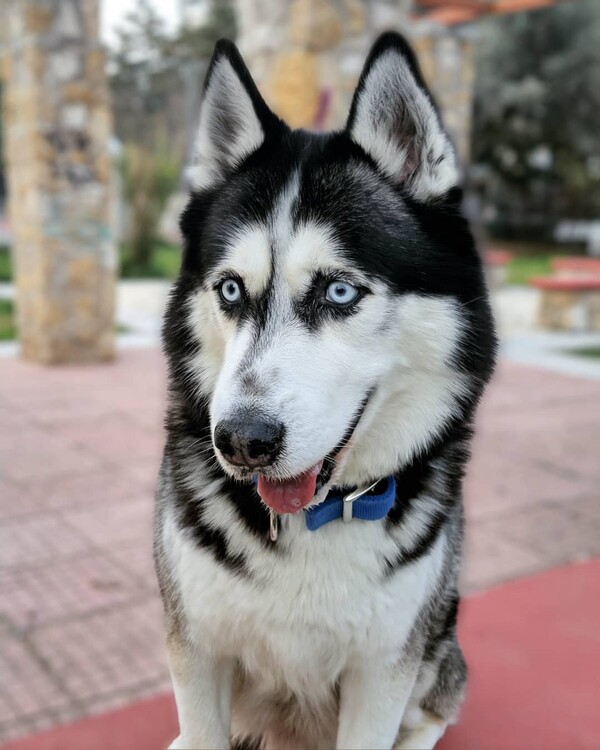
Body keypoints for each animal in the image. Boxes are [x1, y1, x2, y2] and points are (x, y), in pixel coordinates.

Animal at [155, 32, 496, 748]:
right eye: (231, 289)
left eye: (339, 291)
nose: (242, 441)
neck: (313, 518)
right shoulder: (197, 648)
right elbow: (201, 727)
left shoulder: (384, 669)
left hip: (439, 643)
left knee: (435, 712)